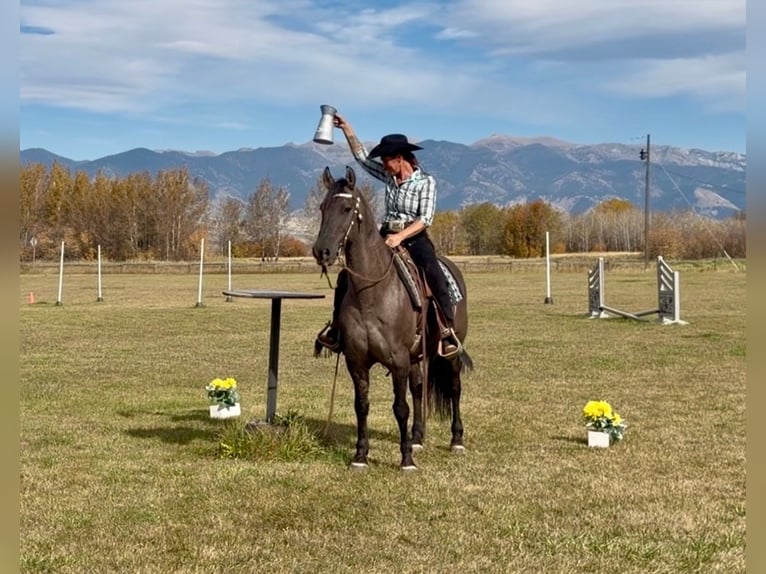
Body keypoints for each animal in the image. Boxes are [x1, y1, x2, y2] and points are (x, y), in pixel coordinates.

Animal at [312, 165, 473, 471]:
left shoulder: (397, 360)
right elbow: (361, 405)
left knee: (455, 387)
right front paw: (360, 455)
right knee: (419, 387)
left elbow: (400, 408)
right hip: (416, 355)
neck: (372, 292)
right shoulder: (357, 361)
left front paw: (406, 459)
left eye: (347, 208)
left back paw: (457, 440)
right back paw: (418, 437)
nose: (321, 251)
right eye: (322, 207)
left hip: (449, 352)